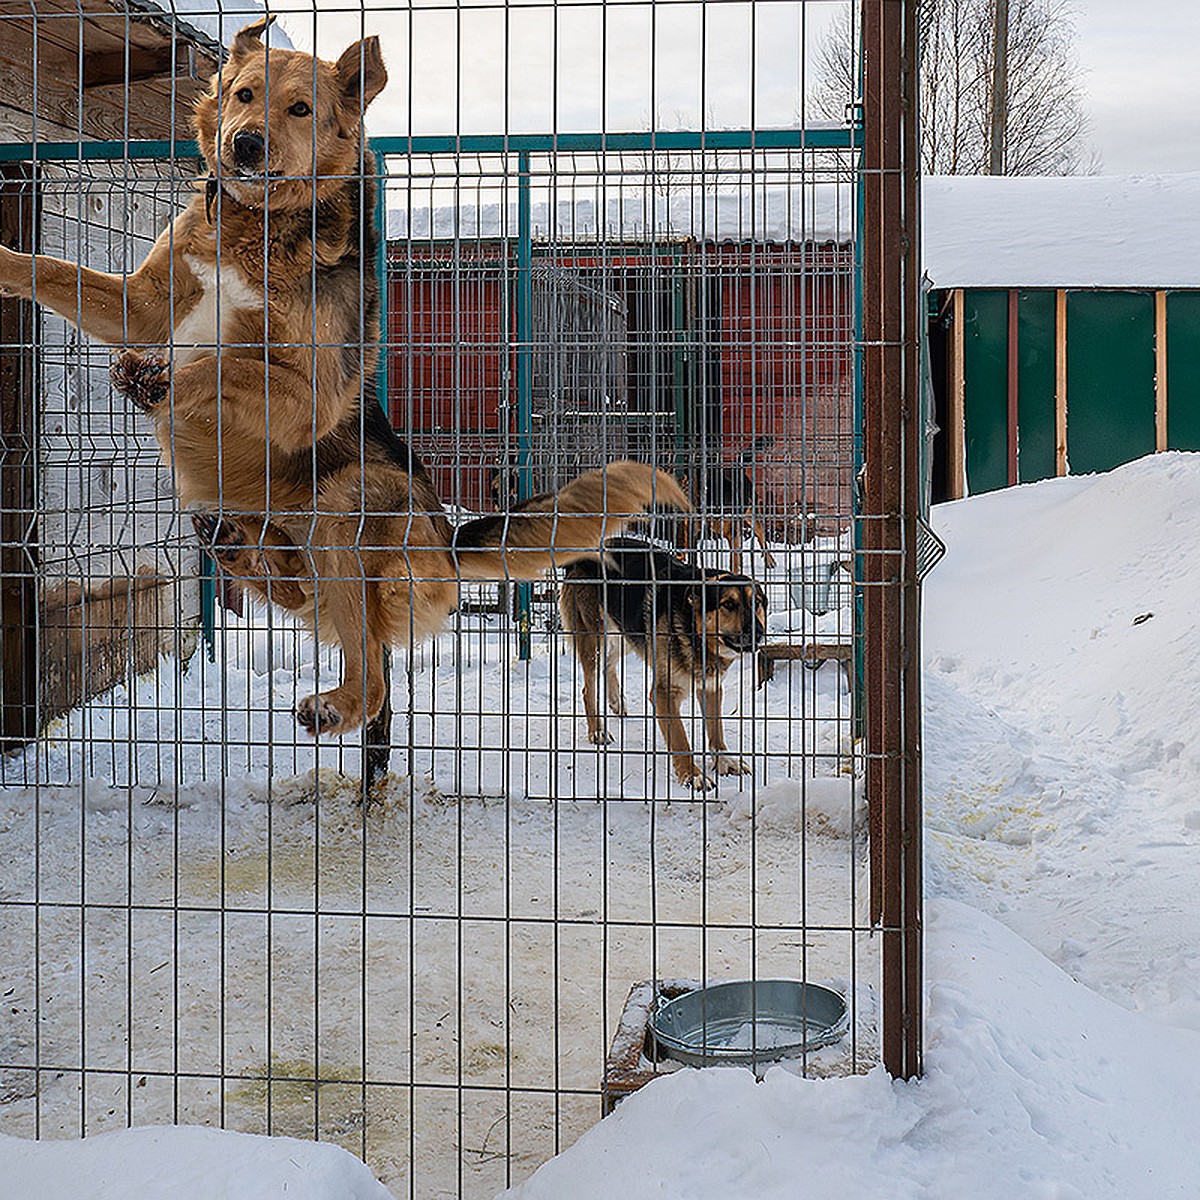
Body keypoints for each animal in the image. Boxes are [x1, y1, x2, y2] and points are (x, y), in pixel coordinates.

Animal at [0, 23, 691, 734]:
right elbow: (50, 268)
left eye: (301, 109)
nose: (244, 143)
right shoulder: (140, 307)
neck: (259, 225)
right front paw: (9, 265)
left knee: (370, 674)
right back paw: (236, 547)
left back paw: (334, 702)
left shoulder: (312, 396)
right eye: (244, 95)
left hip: (349, 503)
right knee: (295, 589)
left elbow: (223, 361)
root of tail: (448, 545)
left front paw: (161, 379)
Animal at [556, 540, 763, 792]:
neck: (695, 632)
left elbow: (716, 729)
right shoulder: (664, 694)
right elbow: (680, 738)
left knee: (609, 665)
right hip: (594, 638)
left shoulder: (711, 687)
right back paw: (597, 730)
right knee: (589, 688)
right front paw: (692, 775)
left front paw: (723, 760)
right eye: (729, 604)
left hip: (626, 633)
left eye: (757, 603)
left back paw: (617, 702)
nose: (758, 632)